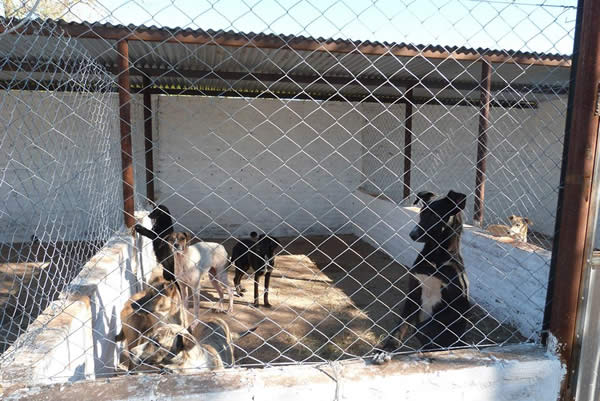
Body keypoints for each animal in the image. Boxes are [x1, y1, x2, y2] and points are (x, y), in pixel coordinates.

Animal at [376, 189, 468, 360]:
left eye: (435, 216)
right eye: (421, 213)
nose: (412, 234)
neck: (435, 257)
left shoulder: (459, 304)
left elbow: (425, 327)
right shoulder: (413, 292)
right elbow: (400, 326)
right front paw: (386, 349)